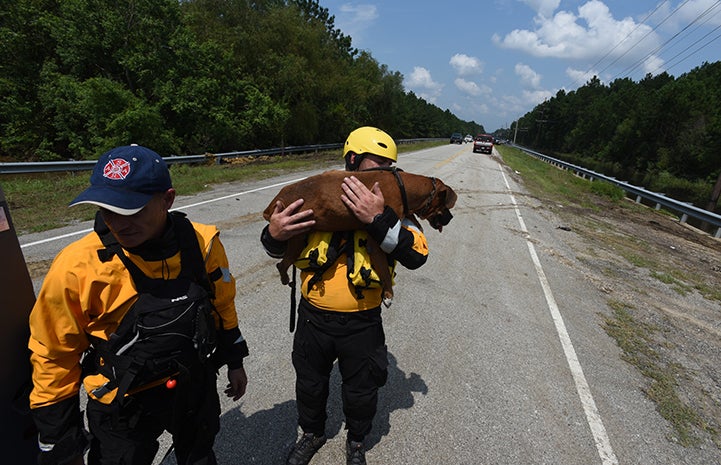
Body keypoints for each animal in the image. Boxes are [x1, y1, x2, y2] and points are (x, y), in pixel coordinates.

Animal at [262, 169, 456, 306]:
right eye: (446, 207)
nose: (451, 218)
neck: (403, 187)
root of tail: (274, 201)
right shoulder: (375, 244)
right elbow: (384, 271)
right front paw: (388, 294)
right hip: (295, 236)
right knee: (282, 265)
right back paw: (285, 278)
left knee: (281, 264)